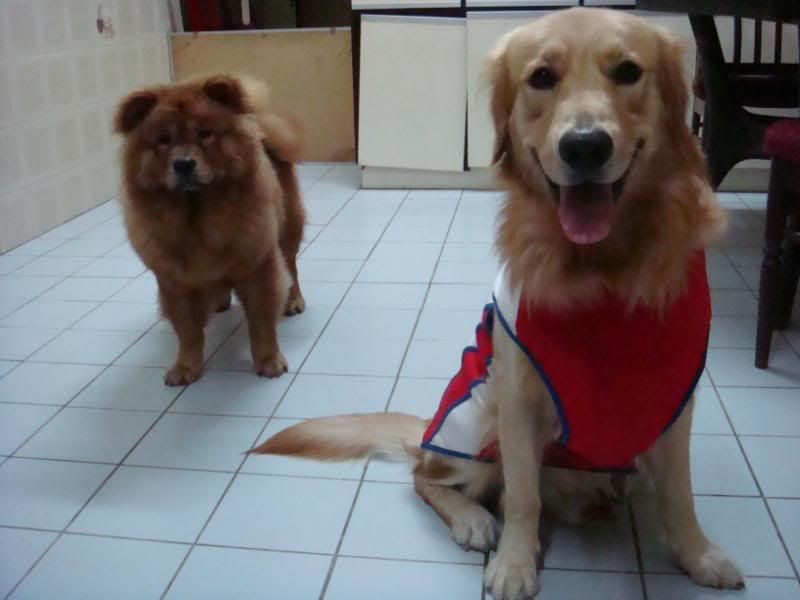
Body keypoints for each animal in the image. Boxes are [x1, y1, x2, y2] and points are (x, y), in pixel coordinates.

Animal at [115, 74, 305, 385]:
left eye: (204, 134)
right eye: (163, 141)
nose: (183, 163)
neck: (198, 218)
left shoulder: (259, 269)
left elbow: (261, 325)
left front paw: (269, 362)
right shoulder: (174, 284)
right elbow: (188, 334)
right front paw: (185, 369)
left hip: (288, 230)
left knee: (291, 268)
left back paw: (294, 301)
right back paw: (219, 301)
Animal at [248, 9, 744, 599]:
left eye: (628, 71)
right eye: (541, 77)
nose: (584, 146)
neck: (601, 270)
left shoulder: (674, 400)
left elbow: (680, 494)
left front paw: (698, 553)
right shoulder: (519, 400)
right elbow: (524, 495)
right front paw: (513, 564)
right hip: (478, 417)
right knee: (429, 478)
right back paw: (475, 519)